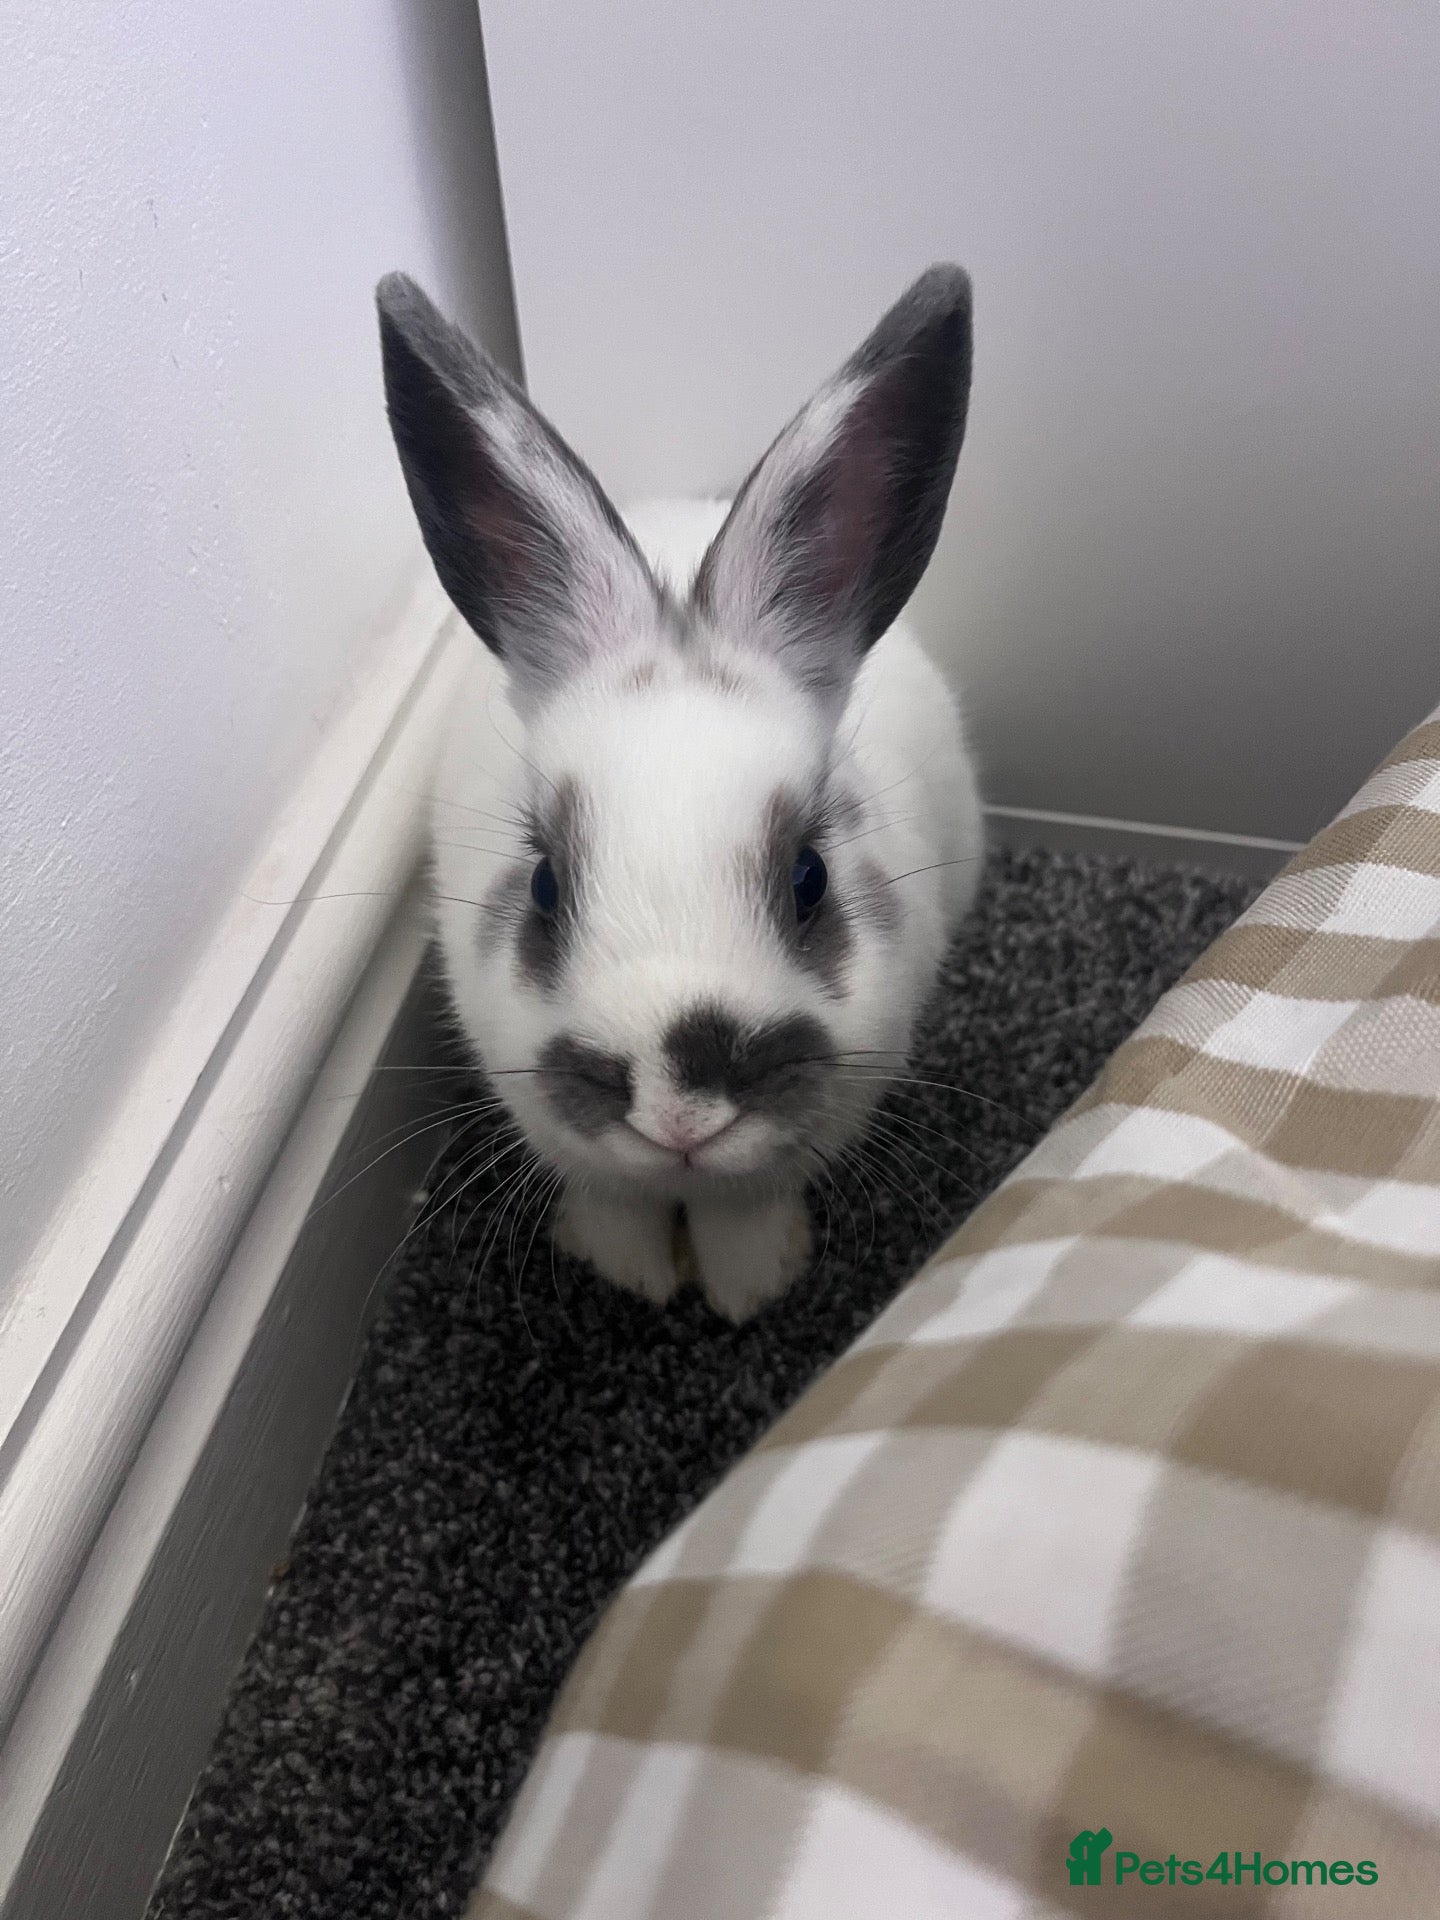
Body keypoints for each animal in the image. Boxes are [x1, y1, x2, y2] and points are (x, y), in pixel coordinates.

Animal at [376, 265, 984, 1322]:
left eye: (810, 879)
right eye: (544, 885)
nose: (679, 1105)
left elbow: (750, 1206)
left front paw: (751, 1285)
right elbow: (612, 1197)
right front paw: (630, 1273)